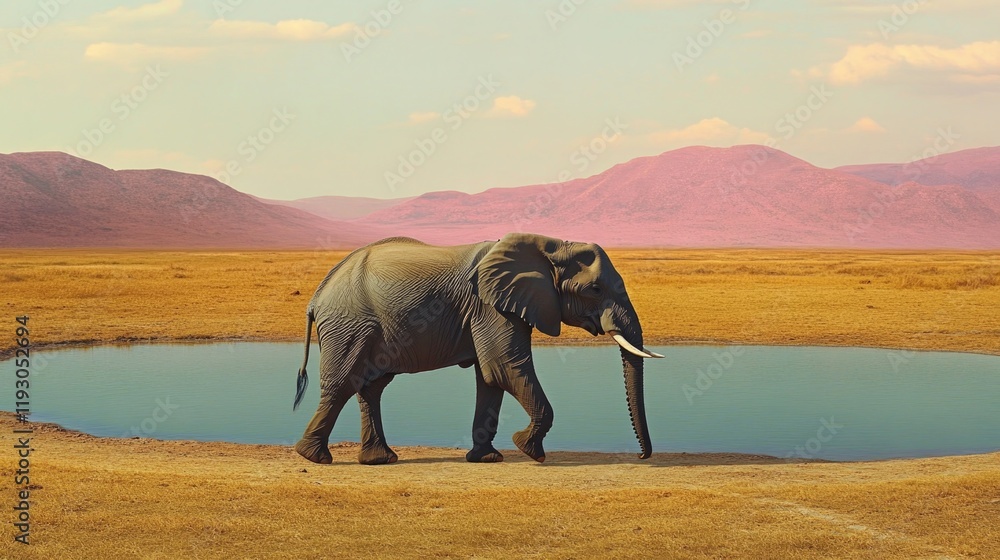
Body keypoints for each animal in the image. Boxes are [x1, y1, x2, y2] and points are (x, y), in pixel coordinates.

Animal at [292, 233, 663, 465]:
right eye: (596, 289)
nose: (642, 456)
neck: (550, 245)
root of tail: (316, 297)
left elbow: (490, 378)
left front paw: (487, 458)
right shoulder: (490, 306)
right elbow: (505, 367)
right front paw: (528, 449)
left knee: (371, 387)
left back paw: (378, 460)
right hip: (350, 324)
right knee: (343, 384)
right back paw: (315, 458)